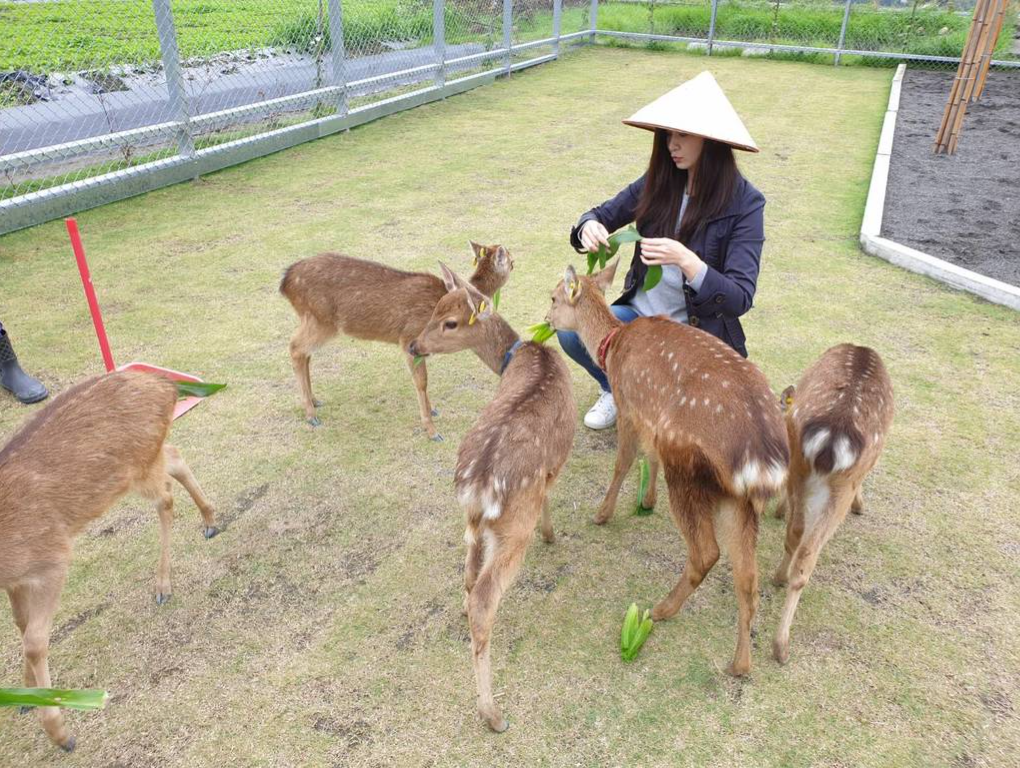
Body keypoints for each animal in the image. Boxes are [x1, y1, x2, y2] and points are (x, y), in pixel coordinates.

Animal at [0, 369, 217, 750]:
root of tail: (165, 386)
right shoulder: (16, 579)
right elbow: (20, 624)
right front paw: (26, 697)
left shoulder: (51, 558)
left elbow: (34, 641)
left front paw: (60, 733)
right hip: (150, 456)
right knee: (175, 456)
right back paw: (209, 520)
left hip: (138, 466)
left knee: (166, 499)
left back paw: (163, 585)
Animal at [279, 239, 514, 436]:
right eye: (510, 259)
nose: (514, 263)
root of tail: (285, 283)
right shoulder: (408, 338)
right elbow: (422, 382)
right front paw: (432, 430)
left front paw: (433, 411)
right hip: (322, 321)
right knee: (295, 347)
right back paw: (311, 415)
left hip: (312, 320)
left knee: (305, 353)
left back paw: (315, 401)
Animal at [405, 267, 575, 734]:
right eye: (436, 311)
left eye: (448, 319)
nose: (414, 345)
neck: (518, 356)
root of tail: (480, 482)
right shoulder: (552, 469)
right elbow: (550, 495)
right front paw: (552, 535)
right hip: (513, 525)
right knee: (483, 597)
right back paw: (492, 714)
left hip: (471, 518)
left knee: (468, 577)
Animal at [550, 261, 787, 673]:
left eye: (552, 297)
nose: (546, 320)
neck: (611, 347)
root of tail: (761, 455)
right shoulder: (650, 419)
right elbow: (650, 457)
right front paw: (646, 501)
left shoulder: (629, 404)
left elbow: (624, 461)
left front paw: (603, 514)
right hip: (738, 498)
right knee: (748, 577)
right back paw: (740, 664)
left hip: (688, 468)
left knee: (706, 552)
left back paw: (661, 610)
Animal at [771, 344, 893, 660]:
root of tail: (834, 434)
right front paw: (861, 506)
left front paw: (778, 510)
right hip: (843, 483)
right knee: (807, 554)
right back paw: (781, 646)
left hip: (801, 465)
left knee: (796, 534)